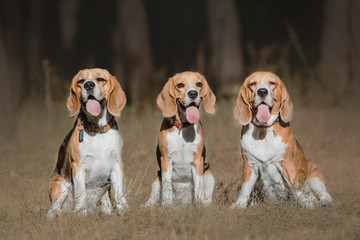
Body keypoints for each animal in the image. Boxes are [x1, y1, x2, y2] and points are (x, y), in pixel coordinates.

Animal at [47, 68, 127, 217]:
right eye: (81, 81)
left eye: (100, 79)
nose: (88, 85)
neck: (98, 130)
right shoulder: (78, 166)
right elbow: (81, 193)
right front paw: (80, 215)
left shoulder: (117, 165)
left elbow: (120, 193)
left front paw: (124, 212)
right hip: (61, 184)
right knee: (52, 211)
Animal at [144, 71, 217, 206]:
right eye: (180, 85)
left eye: (199, 84)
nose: (193, 93)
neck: (183, 127)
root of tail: (183, 202)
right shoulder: (166, 160)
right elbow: (167, 187)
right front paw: (167, 206)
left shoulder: (198, 160)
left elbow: (198, 186)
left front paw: (199, 205)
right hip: (157, 180)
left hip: (209, 174)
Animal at [232, 71, 334, 208]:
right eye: (252, 83)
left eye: (272, 83)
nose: (262, 91)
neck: (263, 131)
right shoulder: (250, 166)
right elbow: (245, 190)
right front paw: (239, 206)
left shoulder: (287, 165)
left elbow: (296, 189)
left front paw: (307, 206)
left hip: (315, 177)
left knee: (325, 195)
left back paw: (321, 202)